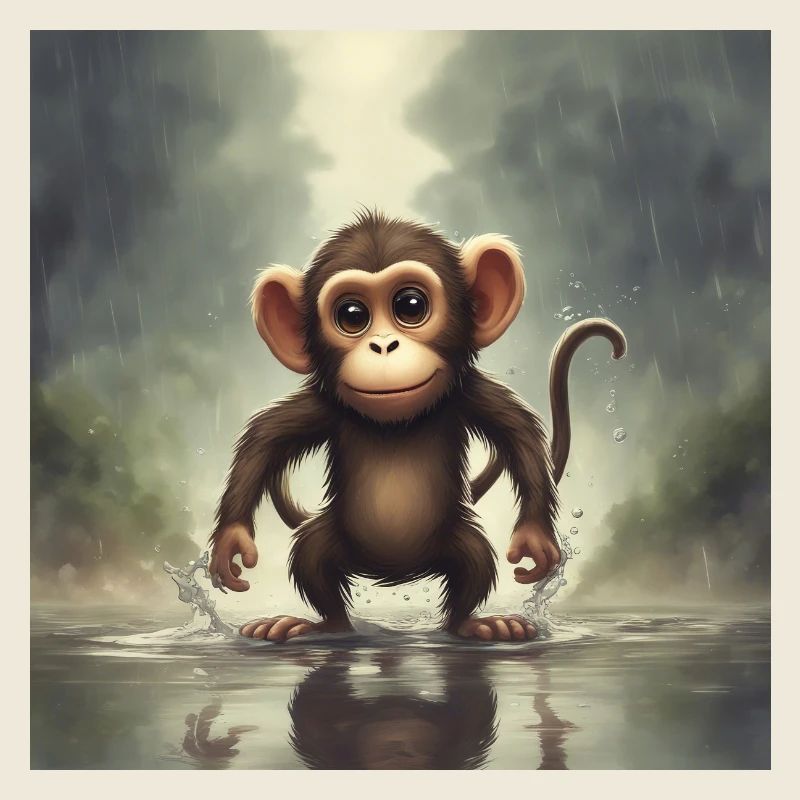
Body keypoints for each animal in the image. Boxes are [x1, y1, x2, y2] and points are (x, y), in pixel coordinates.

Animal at [209, 210, 626, 643]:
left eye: (410, 306)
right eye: (352, 316)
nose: (383, 345)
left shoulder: (469, 394)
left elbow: (519, 433)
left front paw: (535, 539)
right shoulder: (324, 406)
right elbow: (266, 438)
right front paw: (231, 542)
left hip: (456, 541)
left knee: (474, 562)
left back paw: (474, 624)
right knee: (312, 557)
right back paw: (322, 626)